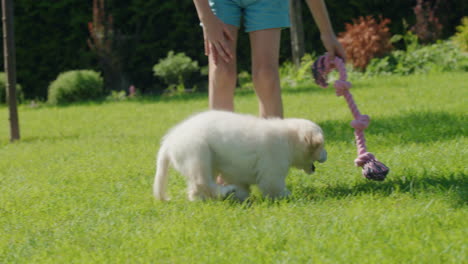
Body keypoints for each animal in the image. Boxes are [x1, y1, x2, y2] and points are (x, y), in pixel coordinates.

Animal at [154, 110, 326, 201]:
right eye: (322, 145)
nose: (327, 155)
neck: (289, 139)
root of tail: (169, 141)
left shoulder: (237, 173)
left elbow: (243, 187)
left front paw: (242, 199)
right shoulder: (272, 168)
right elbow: (274, 186)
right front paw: (290, 196)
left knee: (196, 189)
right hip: (197, 154)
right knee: (202, 182)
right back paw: (225, 192)